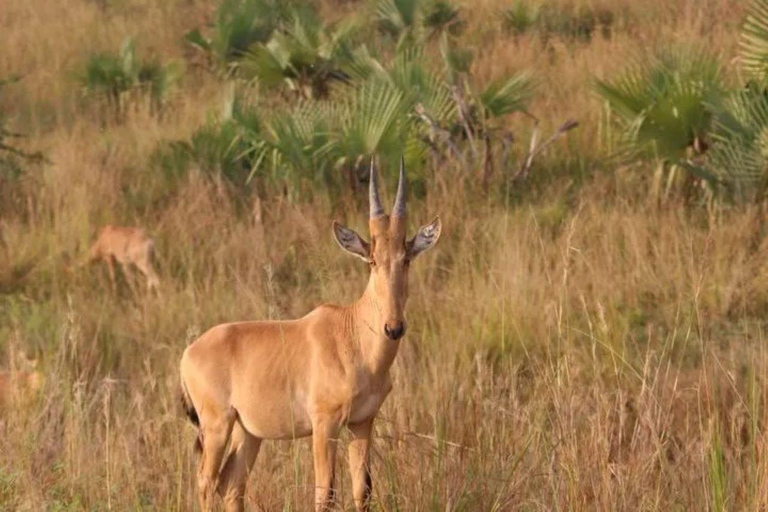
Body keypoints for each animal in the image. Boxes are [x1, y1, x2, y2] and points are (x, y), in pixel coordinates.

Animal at [179, 158, 440, 510]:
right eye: (372, 260)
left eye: (407, 258)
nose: (394, 327)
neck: (352, 333)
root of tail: (188, 353)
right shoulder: (324, 424)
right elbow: (325, 493)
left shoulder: (362, 422)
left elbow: (363, 490)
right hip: (217, 425)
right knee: (206, 482)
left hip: (248, 431)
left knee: (231, 483)